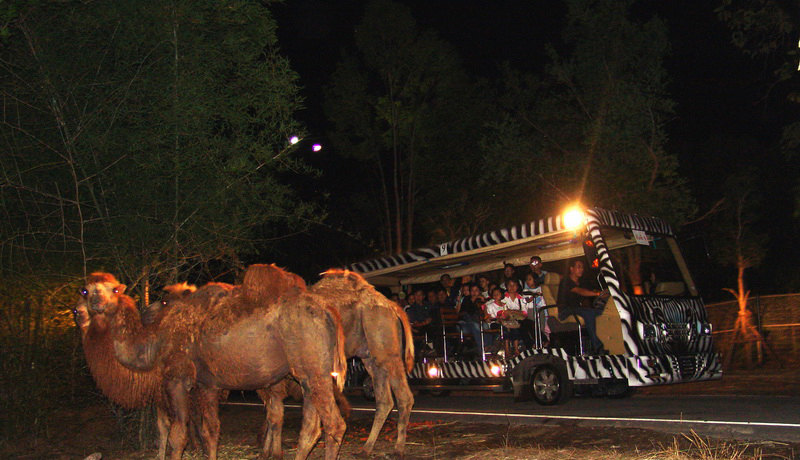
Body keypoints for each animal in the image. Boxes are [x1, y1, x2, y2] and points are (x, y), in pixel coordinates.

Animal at [77, 266, 346, 460]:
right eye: (86, 290)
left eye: (113, 290)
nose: (87, 308)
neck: (154, 342)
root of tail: (328, 311)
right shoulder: (207, 385)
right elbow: (210, 432)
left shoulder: (177, 378)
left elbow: (177, 435)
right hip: (307, 375)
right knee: (310, 427)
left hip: (313, 371)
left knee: (334, 424)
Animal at [260, 268, 416, 458]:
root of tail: (392, 306)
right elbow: (271, 414)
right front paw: (266, 451)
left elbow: (274, 415)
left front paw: (272, 453)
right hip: (370, 356)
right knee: (384, 400)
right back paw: (366, 449)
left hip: (386, 350)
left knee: (404, 397)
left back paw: (398, 449)